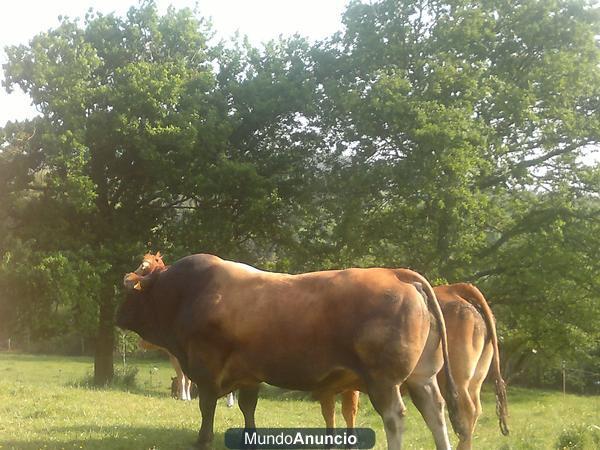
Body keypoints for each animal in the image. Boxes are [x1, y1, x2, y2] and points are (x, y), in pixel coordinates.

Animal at [117, 255, 464, 448]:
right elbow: (248, 408)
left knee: (395, 417)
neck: (188, 293)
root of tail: (396, 273)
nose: (117, 316)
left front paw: (202, 440)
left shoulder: (207, 368)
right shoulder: (249, 375)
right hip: (422, 377)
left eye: (127, 289)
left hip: (384, 380)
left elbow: (206, 407)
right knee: (436, 411)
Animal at [322, 284, 508, 448]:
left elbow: (337, 412)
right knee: (475, 410)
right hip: (475, 380)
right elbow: (340, 412)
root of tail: (453, 289)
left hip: (458, 380)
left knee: (467, 412)